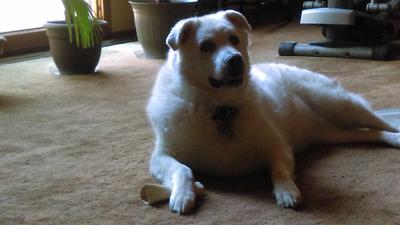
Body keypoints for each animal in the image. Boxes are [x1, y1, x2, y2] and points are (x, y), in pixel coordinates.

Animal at [145, 10, 400, 214]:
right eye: (206, 46)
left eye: (234, 39)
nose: (235, 60)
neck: (221, 109)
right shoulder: (161, 156)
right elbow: (183, 169)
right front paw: (183, 194)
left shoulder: (277, 146)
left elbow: (279, 170)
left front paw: (286, 191)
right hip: (331, 132)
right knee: (368, 133)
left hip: (337, 103)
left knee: (379, 122)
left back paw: (395, 133)